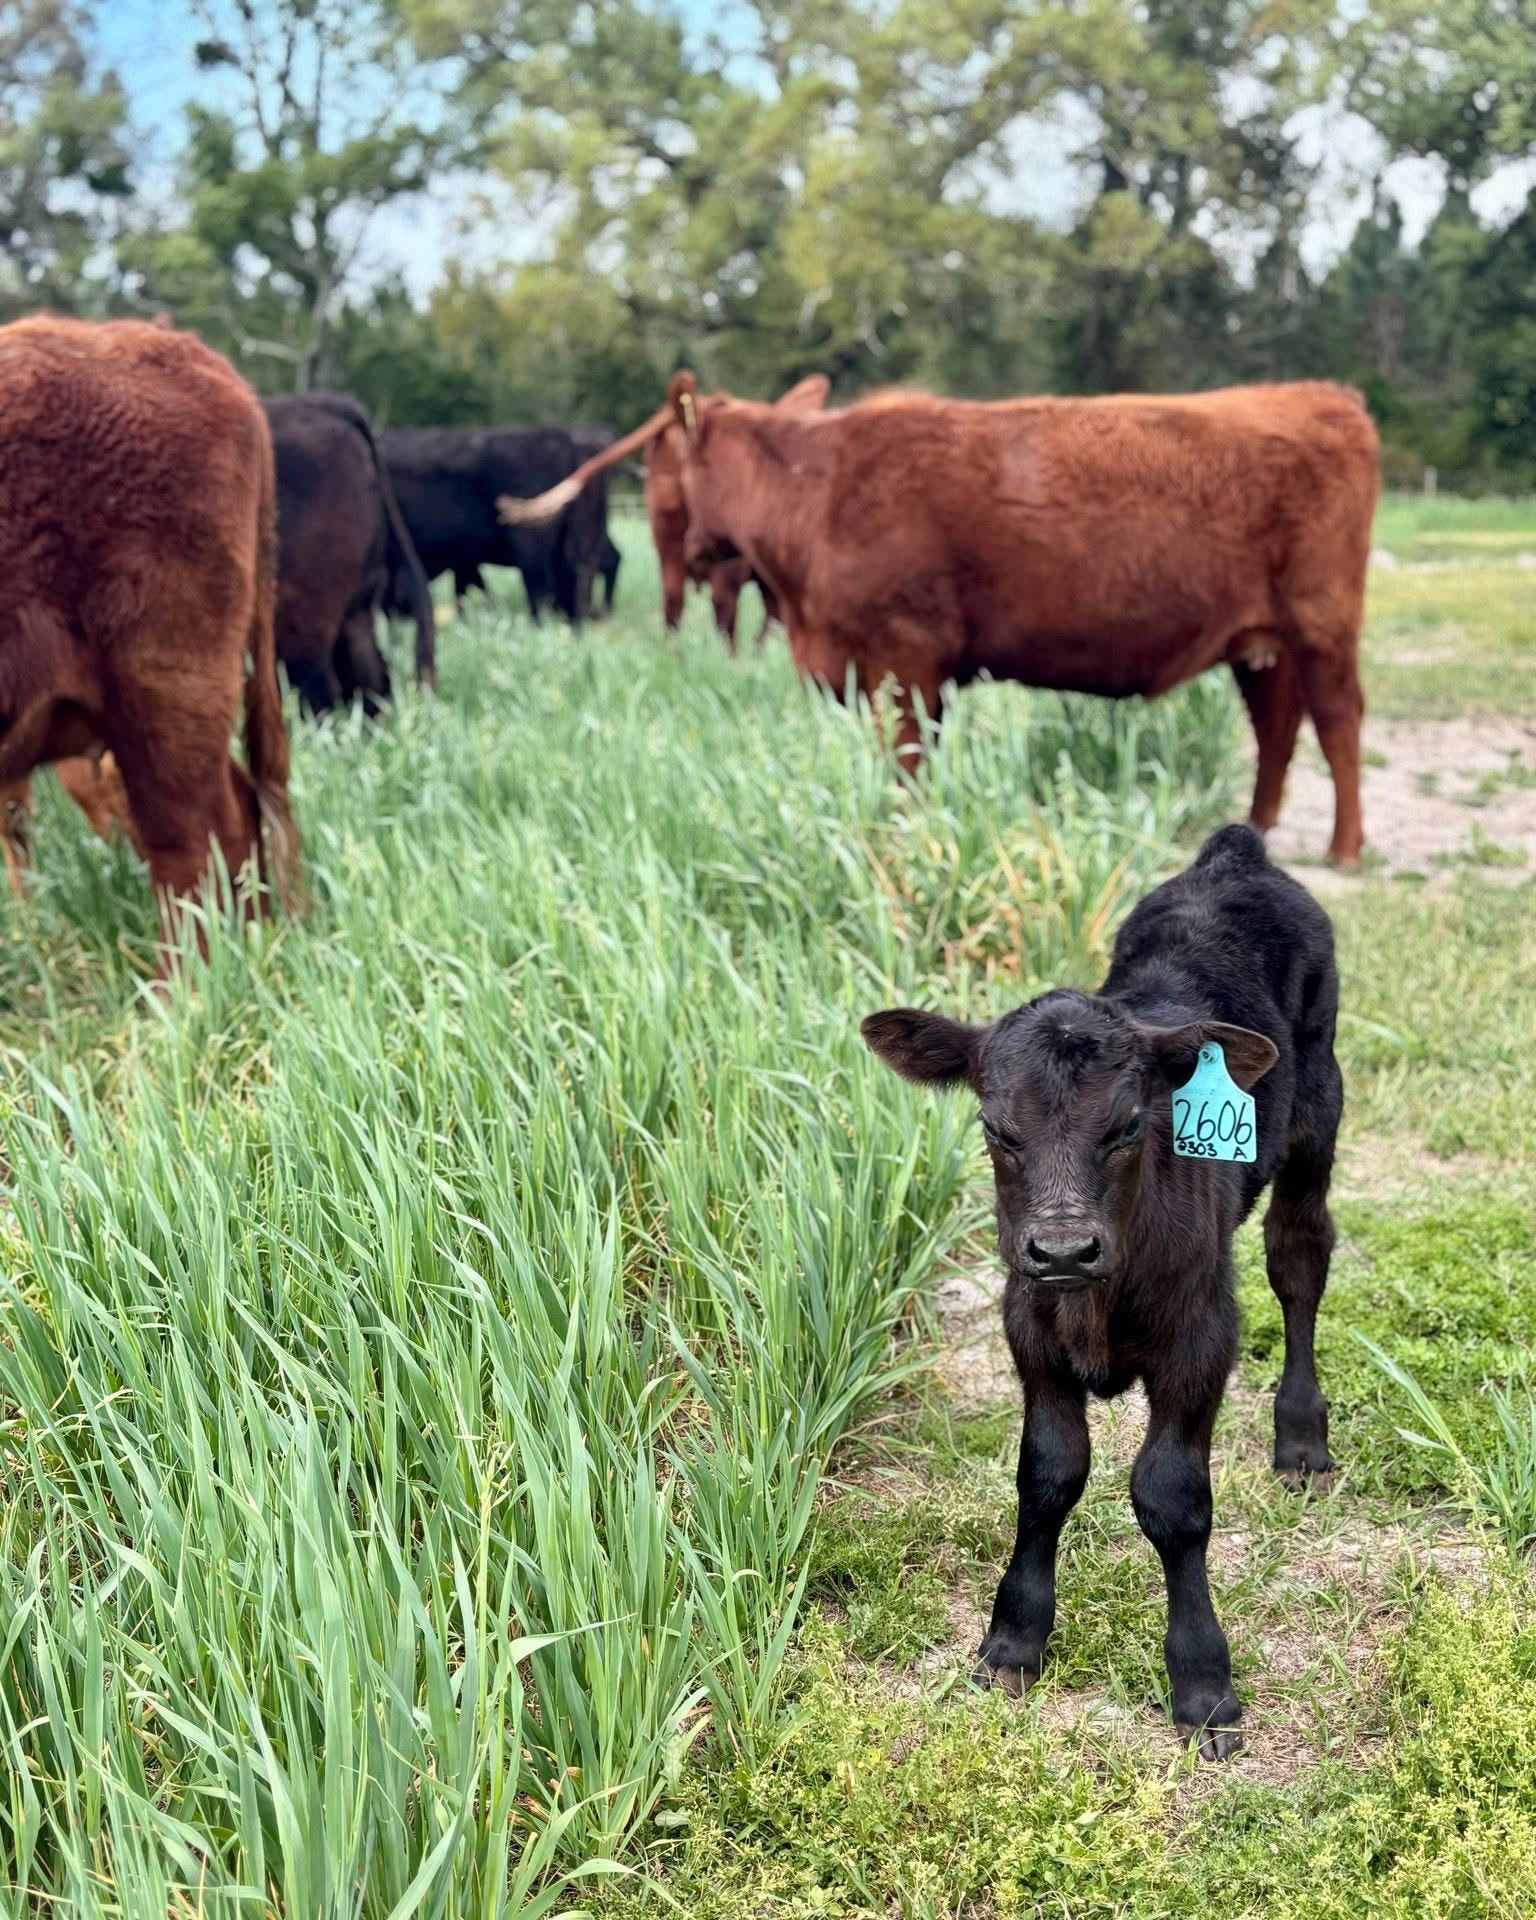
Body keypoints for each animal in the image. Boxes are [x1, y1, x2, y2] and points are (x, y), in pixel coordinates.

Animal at [381, 426, 595, 624]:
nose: (399, 613)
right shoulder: (464, 560)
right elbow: (468, 591)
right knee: (572, 581)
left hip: (532, 546)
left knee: (541, 590)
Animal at [503, 374, 1378, 863]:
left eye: (658, 462)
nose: (671, 539)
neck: (817, 494)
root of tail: (1323, 395)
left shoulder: (905, 659)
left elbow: (907, 766)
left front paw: (901, 841)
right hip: (1260, 642)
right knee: (1277, 726)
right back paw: (1258, 830)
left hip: (1322, 624)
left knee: (1337, 720)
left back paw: (1345, 848)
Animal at [862, 823, 1341, 1759]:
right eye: (995, 1129)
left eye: (1128, 1124)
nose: (1060, 1247)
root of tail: (1237, 854)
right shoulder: (1028, 1326)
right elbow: (1048, 1473)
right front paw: (1013, 1642)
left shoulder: (1201, 1337)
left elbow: (1172, 1497)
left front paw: (1203, 1685)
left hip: (1319, 1116)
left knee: (1299, 1262)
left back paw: (1302, 1440)